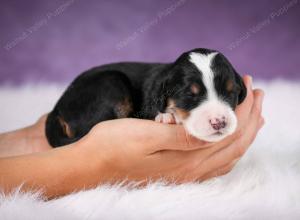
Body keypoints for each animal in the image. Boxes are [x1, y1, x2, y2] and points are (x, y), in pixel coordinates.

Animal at [45, 48, 246, 148]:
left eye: (230, 93)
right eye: (189, 95)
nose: (219, 122)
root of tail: (56, 108)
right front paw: (167, 116)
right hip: (111, 83)